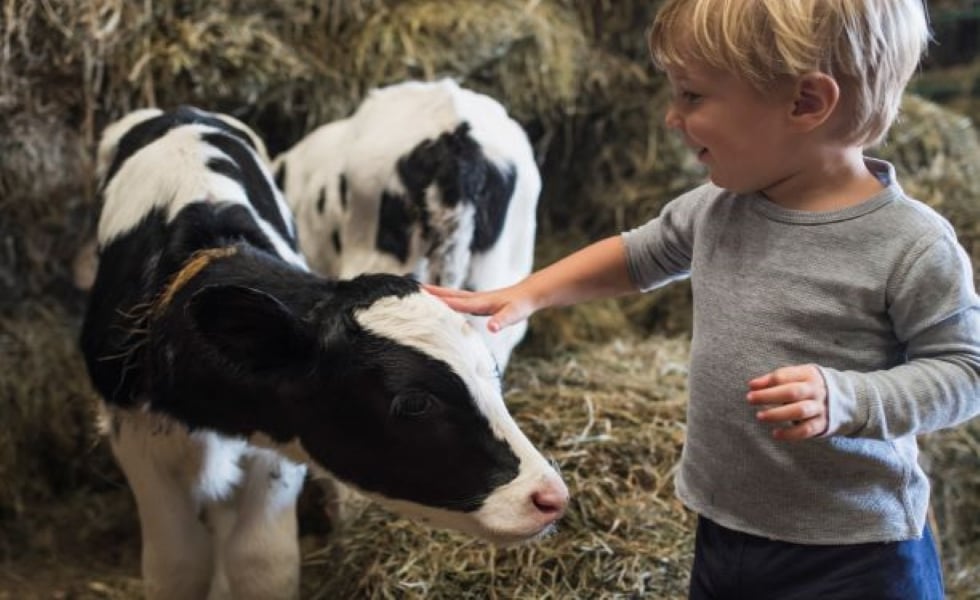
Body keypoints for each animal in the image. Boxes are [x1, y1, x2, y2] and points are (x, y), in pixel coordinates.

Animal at [81, 108, 572, 600]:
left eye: (492, 375)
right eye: (415, 402)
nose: (550, 497)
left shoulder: (275, 446)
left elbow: (261, 562)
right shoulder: (135, 438)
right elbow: (178, 564)